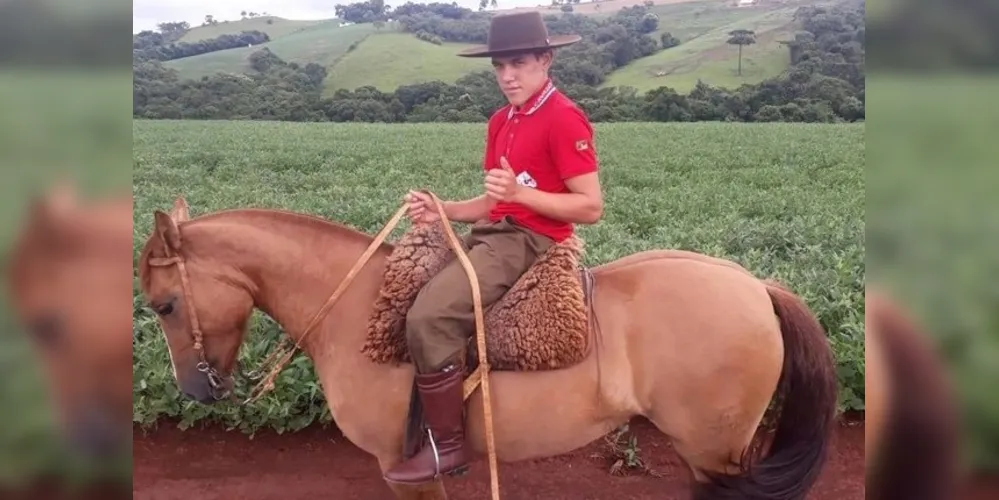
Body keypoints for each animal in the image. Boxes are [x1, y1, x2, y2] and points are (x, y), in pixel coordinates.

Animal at [137, 196, 840, 500]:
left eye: (164, 305)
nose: (194, 390)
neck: (357, 307)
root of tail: (757, 285)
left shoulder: (402, 465)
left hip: (713, 450)